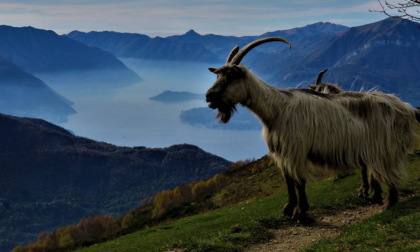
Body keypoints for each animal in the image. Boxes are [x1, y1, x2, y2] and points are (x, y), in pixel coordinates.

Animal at [206, 37, 420, 222]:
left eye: (231, 76)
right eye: (218, 75)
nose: (209, 96)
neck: (276, 110)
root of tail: (404, 107)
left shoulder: (296, 150)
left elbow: (299, 181)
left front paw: (300, 213)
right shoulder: (282, 152)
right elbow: (288, 180)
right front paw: (288, 208)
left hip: (384, 147)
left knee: (390, 174)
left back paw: (388, 203)